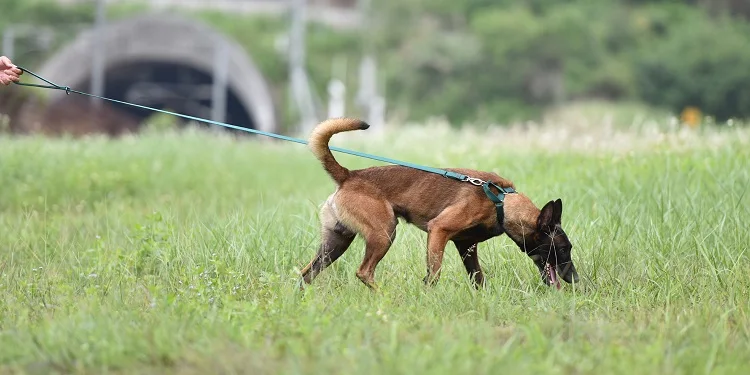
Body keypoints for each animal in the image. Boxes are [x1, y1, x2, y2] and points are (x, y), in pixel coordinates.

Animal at [300, 119, 580, 290]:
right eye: (563, 248)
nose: (575, 279)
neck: (502, 203)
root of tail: (349, 175)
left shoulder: (467, 246)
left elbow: (478, 278)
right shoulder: (439, 231)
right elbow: (433, 274)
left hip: (335, 243)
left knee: (305, 273)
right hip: (384, 233)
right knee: (364, 272)